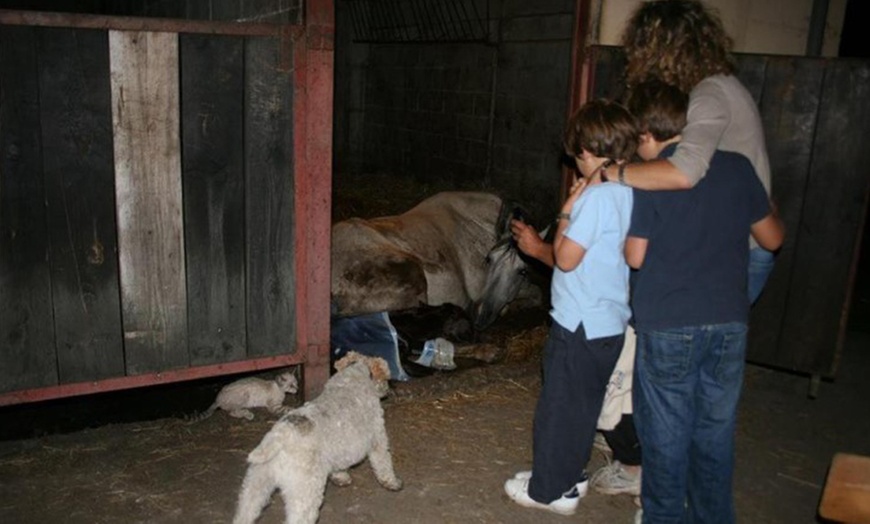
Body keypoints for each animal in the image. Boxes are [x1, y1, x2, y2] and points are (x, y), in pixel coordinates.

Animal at [235, 352, 406, 524]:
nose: (388, 389)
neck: (354, 374)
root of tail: (281, 434)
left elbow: (340, 467)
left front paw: (341, 478)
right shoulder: (378, 438)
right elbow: (384, 464)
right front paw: (392, 483)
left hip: (255, 487)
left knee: (244, 513)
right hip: (305, 493)